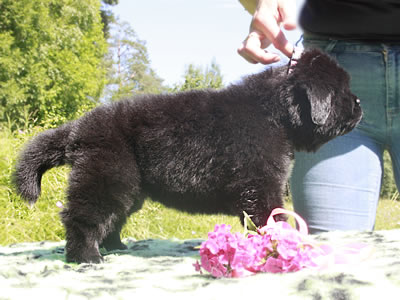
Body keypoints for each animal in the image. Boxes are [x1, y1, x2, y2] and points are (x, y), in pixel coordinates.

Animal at [14, 49, 360, 262]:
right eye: (342, 91)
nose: (359, 105)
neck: (274, 113)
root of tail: (77, 129)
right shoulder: (261, 187)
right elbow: (269, 220)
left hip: (126, 188)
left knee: (111, 219)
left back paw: (115, 247)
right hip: (106, 177)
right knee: (82, 218)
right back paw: (86, 257)